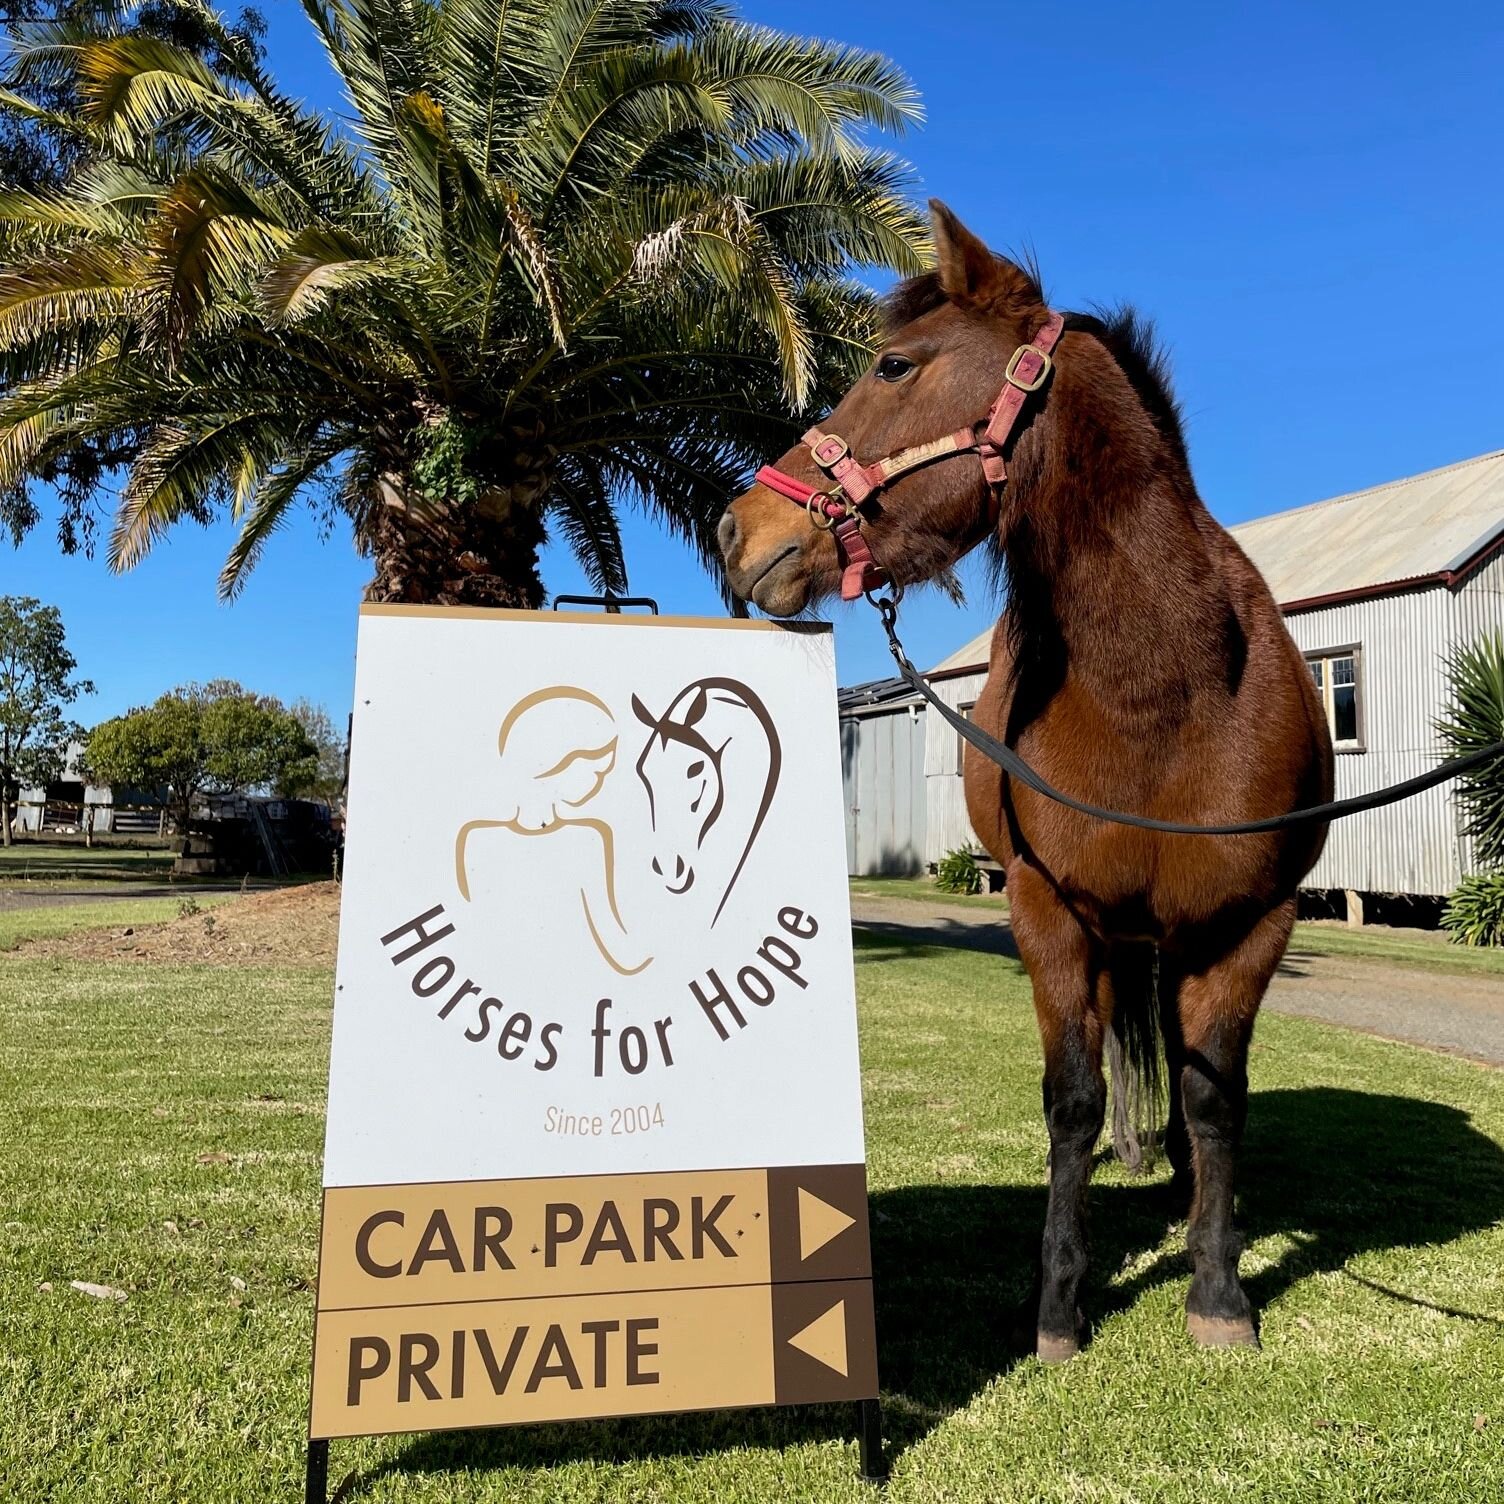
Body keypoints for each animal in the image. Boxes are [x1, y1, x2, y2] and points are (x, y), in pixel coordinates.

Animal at [721, 203, 1335, 1365]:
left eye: (894, 364)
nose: (740, 530)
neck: (1161, 694)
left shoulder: (1251, 924)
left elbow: (1215, 1096)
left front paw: (1217, 1287)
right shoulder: (1048, 917)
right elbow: (1073, 1101)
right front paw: (1058, 1302)